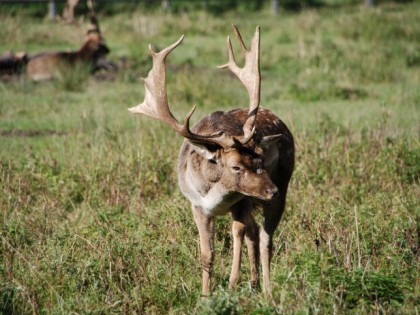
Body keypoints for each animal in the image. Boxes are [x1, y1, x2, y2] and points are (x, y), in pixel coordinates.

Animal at [129, 25, 296, 298]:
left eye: (260, 157)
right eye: (236, 166)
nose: (271, 190)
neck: (215, 193)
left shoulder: (241, 201)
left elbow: (238, 233)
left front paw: (231, 283)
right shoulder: (196, 205)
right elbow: (207, 253)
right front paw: (205, 295)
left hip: (283, 182)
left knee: (264, 238)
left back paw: (267, 291)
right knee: (255, 233)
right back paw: (254, 283)